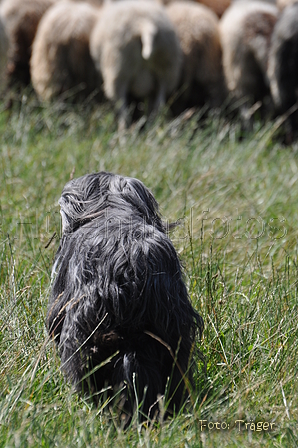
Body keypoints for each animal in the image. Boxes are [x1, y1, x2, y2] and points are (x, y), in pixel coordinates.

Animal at [89, 0, 182, 130]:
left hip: (119, 70)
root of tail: (144, 25)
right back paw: (151, 129)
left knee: (123, 111)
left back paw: (123, 133)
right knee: (158, 108)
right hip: (166, 71)